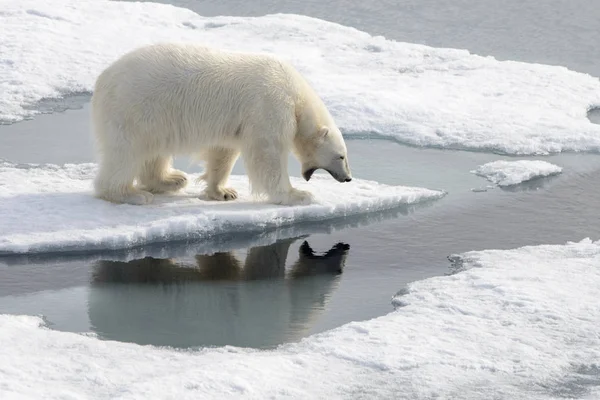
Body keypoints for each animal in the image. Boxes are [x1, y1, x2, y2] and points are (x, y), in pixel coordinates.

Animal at [89, 43, 352, 206]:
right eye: (340, 156)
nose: (348, 178)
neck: (297, 98)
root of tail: (103, 78)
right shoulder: (269, 107)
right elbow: (267, 154)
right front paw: (298, 194)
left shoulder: (236, 122)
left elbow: (223, 151)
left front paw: (223, 192)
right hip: (135, 107)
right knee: (126, 153)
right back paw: (131, 194)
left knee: (153, 150)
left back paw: (171, 180)